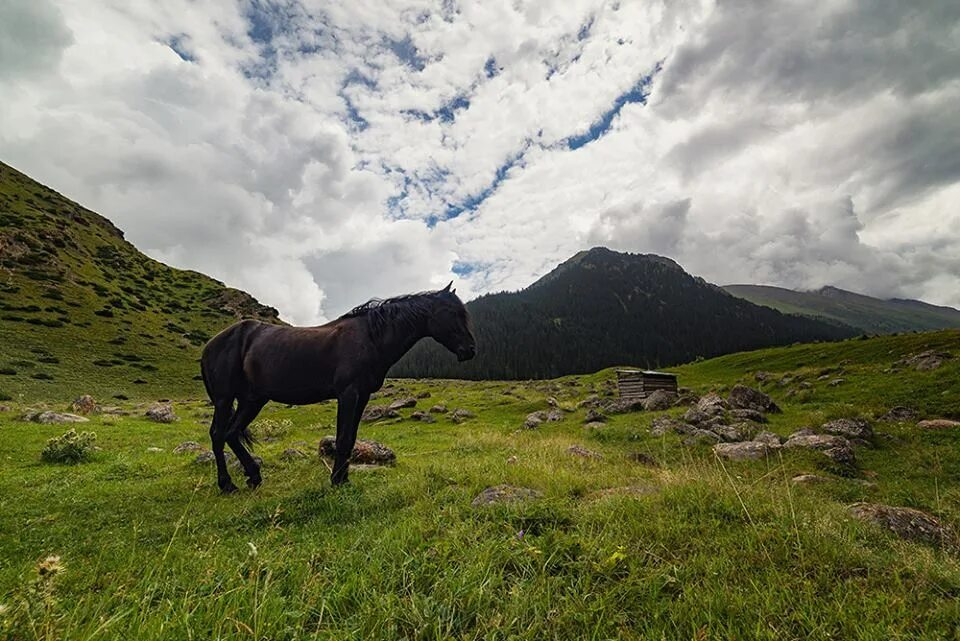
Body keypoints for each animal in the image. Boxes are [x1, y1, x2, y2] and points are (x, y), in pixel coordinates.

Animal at [200, 282, 476, 492]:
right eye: (452, 313)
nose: (470, 350)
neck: (370, 338)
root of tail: (210, 345)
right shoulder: (348, 394)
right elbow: (342, 440)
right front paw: (336, 481)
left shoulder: (362, 396)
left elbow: (351, 439)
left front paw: (344, 478)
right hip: (225, 400)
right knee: (218, 435)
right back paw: (227, 485)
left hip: (252, 400)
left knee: (232, 434)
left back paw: (254, 476)